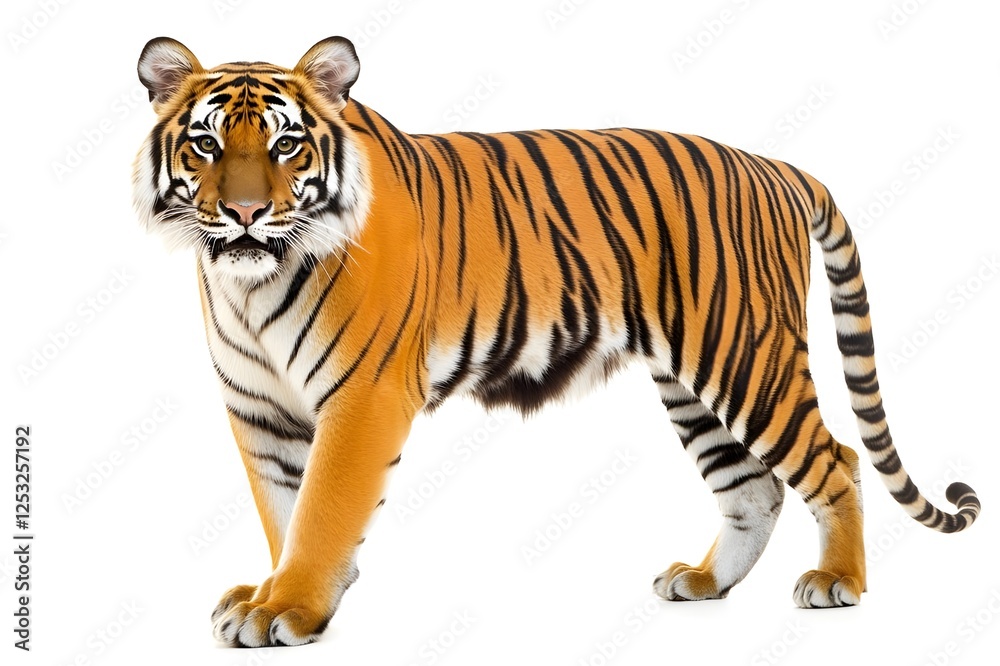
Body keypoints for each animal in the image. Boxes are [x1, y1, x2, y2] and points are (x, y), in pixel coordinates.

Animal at [133, 36, 980, 648]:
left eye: (286, 147)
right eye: (206, 145)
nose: (244, 214)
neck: (250, 282)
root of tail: (774, 165)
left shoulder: (362, 398)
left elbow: (321, 511)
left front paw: (291, 610)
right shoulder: (260, 410)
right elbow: (284, 509)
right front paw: (279, 595)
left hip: (747, 357)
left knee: (834, 459)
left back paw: (838, 583)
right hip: (693, 383)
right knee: (753, 487)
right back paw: (705, 583)